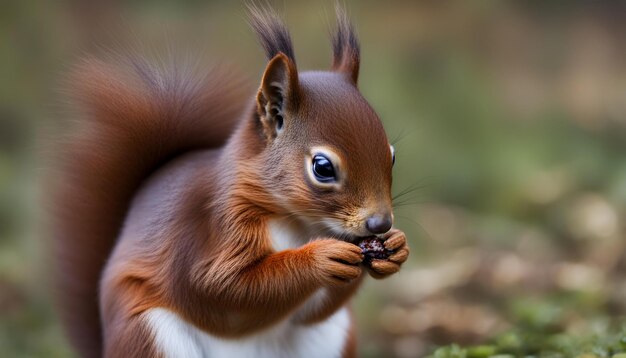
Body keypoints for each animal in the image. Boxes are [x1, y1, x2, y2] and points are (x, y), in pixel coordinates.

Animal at [51, 3, 408, 358]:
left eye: (392, 155)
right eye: (322, 167)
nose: (380, 223)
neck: (299, 223)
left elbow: (308, 311)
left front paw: (397, 246)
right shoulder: (212, 227)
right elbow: (220, 289)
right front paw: (321, 259)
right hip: (150, 336)